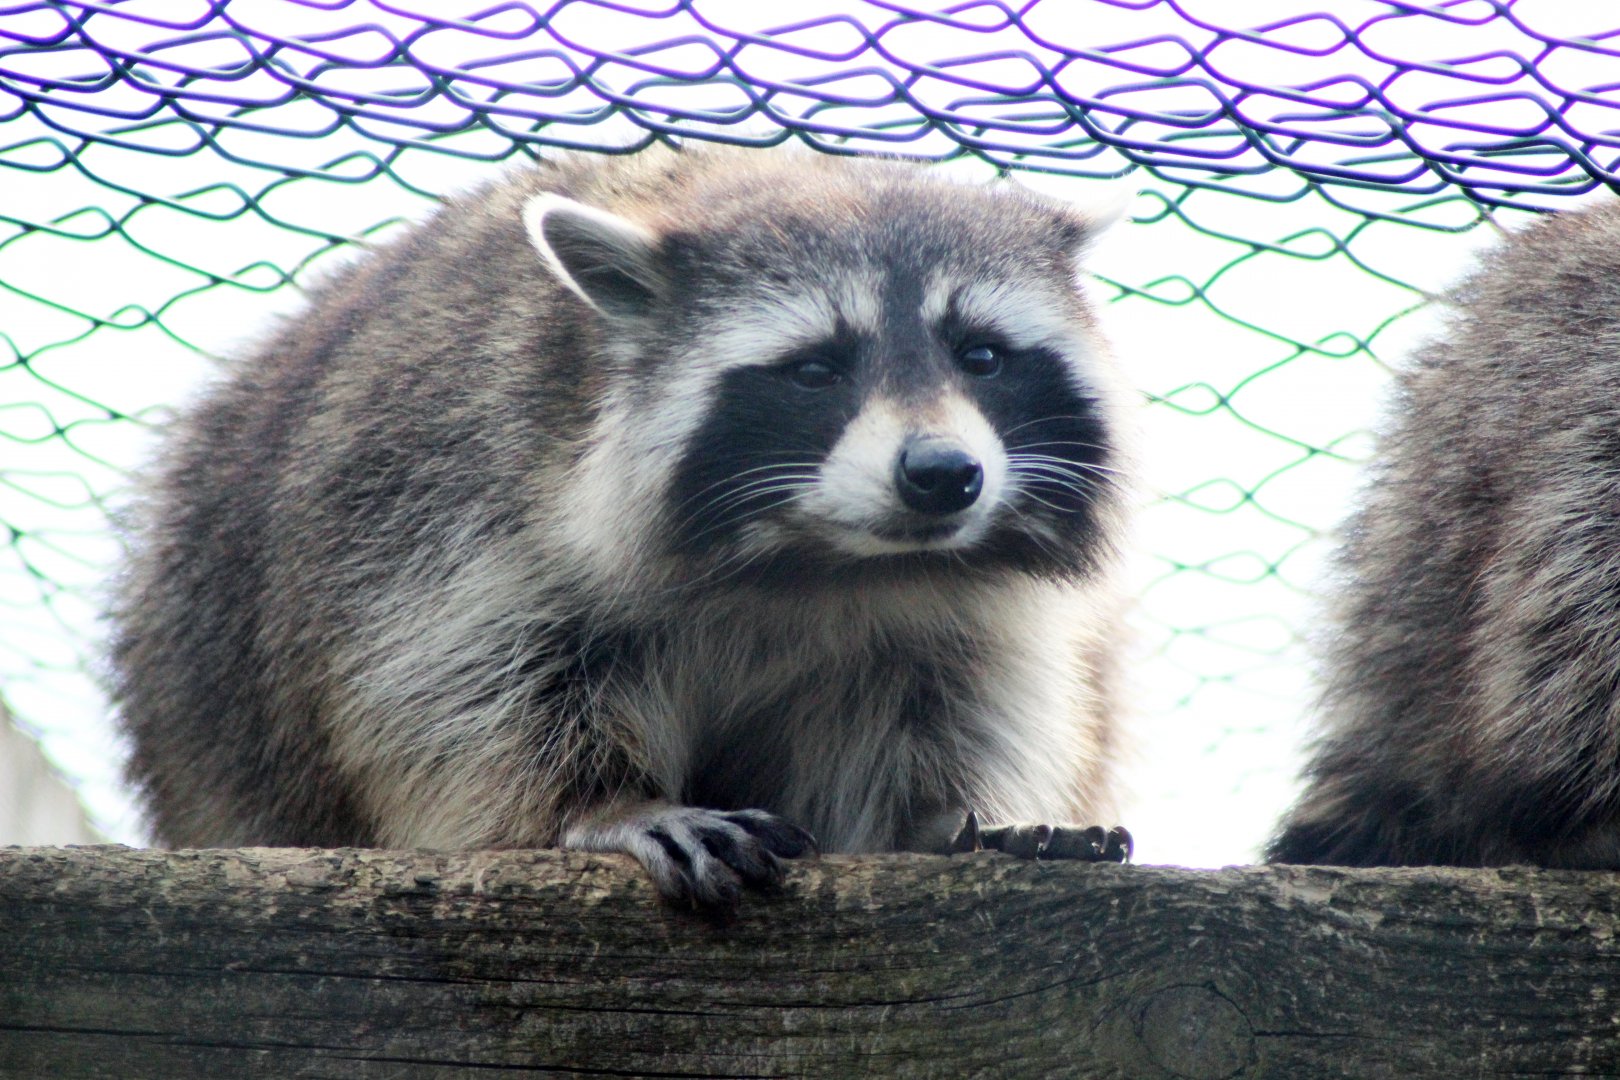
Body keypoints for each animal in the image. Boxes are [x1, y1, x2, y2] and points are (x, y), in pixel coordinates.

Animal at [111, 146, 1135, 908]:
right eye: (816, 369)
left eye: (983, 357)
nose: (942, 475)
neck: (822, 559)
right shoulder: (444, 500)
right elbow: (460, 689)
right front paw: (605, 804)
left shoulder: (960, 613)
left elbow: (947, 700)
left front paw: (931, 821)